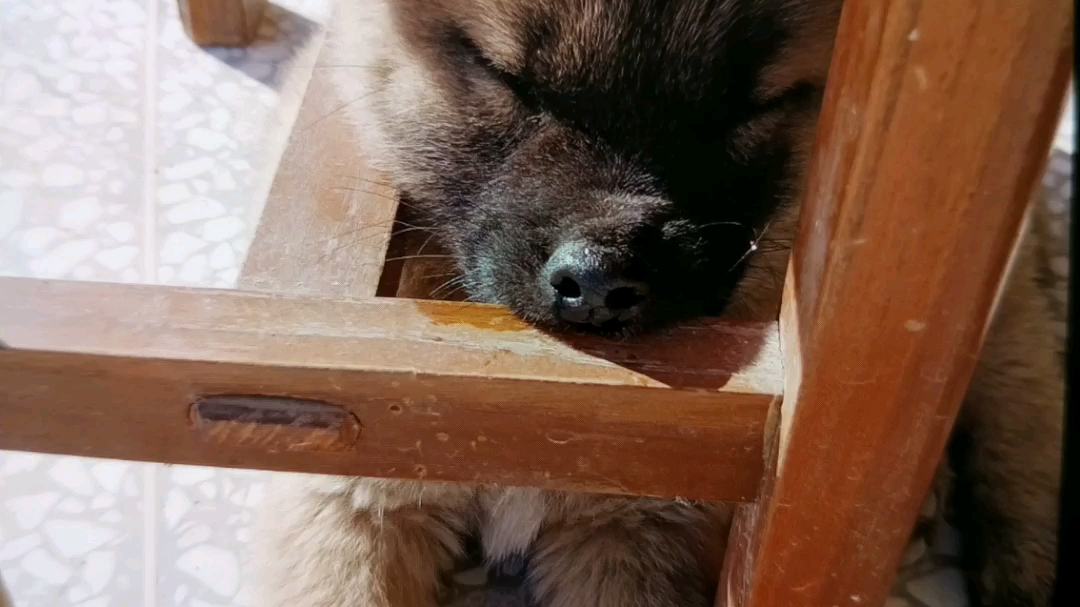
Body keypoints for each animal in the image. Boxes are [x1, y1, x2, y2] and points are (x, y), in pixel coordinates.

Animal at [257, 2, 1067, 600]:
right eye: (503, 77)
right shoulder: (354, 503)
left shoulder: (643, 531)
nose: (599, 279)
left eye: (751, 108)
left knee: (1022, 387)